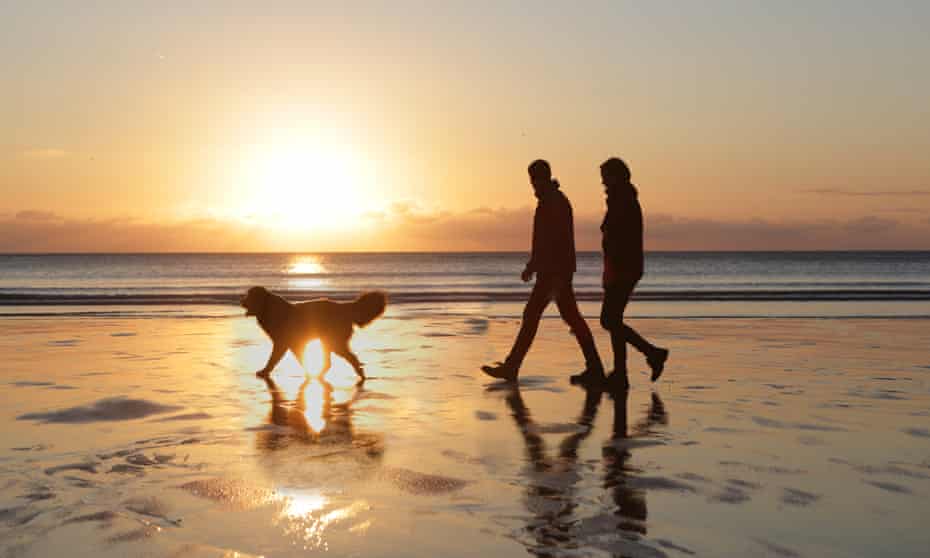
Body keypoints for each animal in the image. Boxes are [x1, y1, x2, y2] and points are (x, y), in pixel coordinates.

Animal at [241, 286, 386, 382]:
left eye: (249, 296)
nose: (242, 302)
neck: (267, 307)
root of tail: (345, 307)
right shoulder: (292, 344)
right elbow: (300, 358)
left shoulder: (281, 343)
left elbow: (273, 359)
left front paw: (264, 371)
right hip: (327, 342)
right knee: (333, 362)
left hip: (333, 343)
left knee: (349, 358)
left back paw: (360, 374)